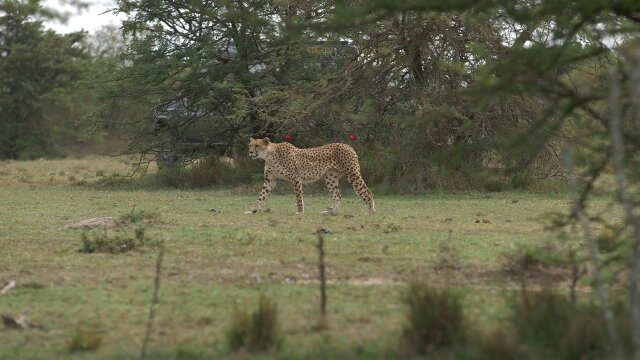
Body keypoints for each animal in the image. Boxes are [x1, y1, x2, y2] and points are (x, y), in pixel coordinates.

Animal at [245, 138, 376, 215]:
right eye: (250, 145)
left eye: (257, 145)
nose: (250, 152)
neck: (269, 156)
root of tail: (347, 146)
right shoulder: (270, 180)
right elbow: (261, 195)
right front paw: (253, 209)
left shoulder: (296, 178)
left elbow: (299, 197)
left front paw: (300, 212)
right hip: (330, 178)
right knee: (338, 195)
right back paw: (330, 211)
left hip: (352, 174)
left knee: (367, 191)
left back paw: (371, 211)